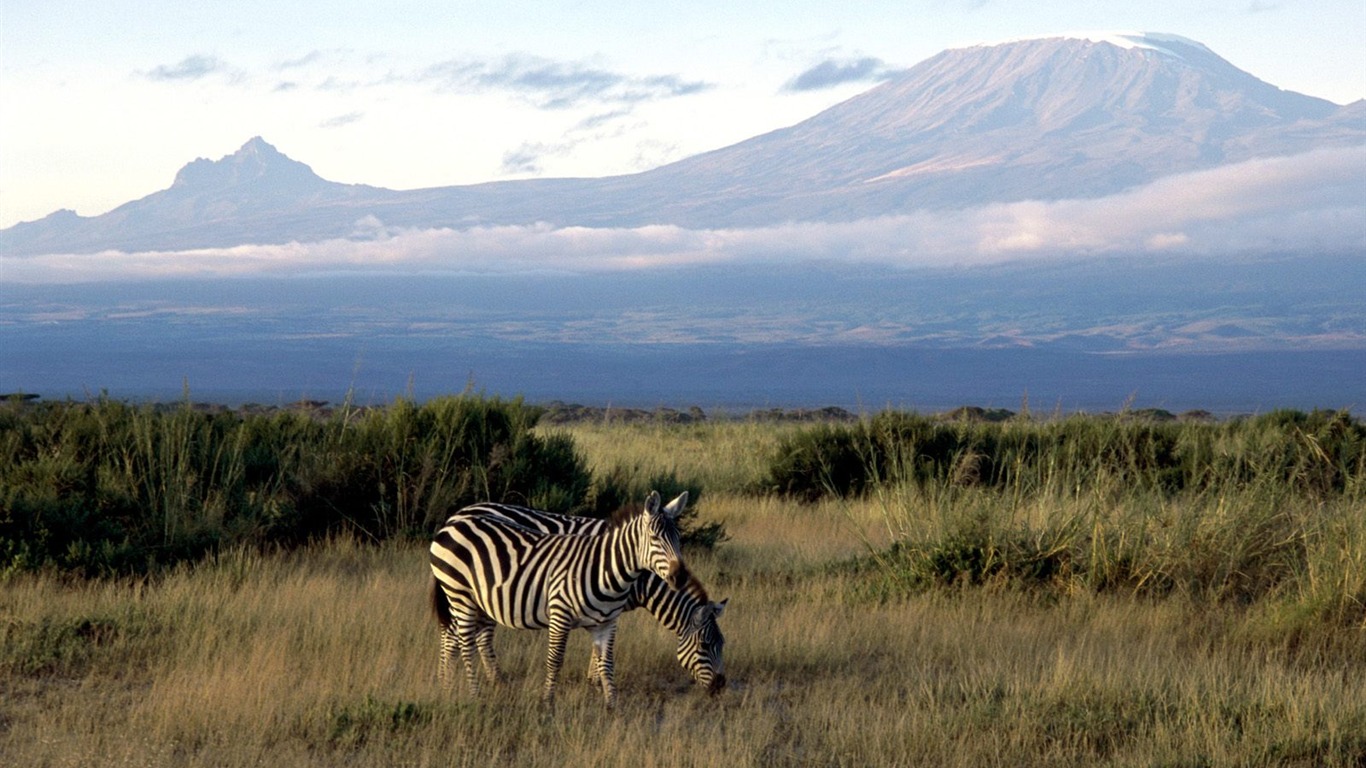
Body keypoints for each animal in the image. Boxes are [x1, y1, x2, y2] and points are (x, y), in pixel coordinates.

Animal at [431, 489, 693, 705]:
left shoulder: (607, 622)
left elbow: (607, 662)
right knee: (464, 643)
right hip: (460, 594)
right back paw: (473, 694)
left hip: (475, 599)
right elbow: (555, 660)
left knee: (460, 638)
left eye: (678, 538)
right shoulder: (560, 614)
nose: (680, 576)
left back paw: (452, 686)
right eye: (655, 538)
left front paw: (611, 705)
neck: (606, 569)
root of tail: (453, 522)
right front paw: (548, 702)